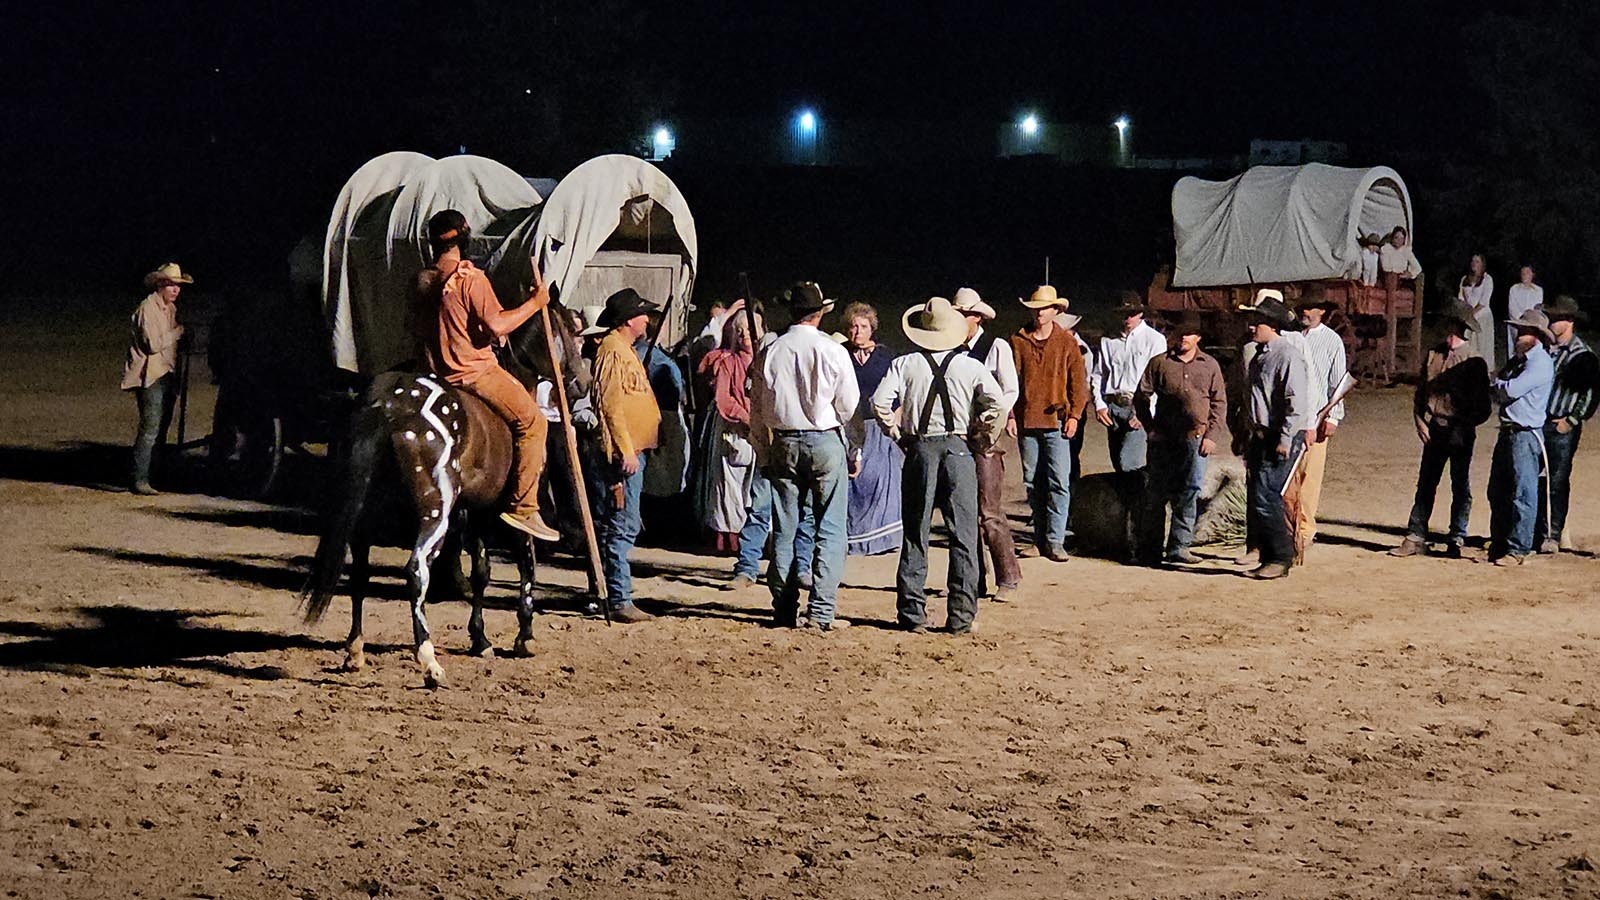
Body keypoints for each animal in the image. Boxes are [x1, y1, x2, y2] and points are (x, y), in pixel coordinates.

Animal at [300, 299, 588, 679]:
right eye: (571, 329)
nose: (583, 384)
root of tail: (385, 402)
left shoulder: (474, 508)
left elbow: (482, 573)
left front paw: (480, 639)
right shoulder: (513, 508)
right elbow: (527, 562)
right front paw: (525, 636)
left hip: (368, 511)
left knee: (360, 571)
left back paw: (355, 648)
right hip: (435, 510)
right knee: (416, 570)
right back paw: (428, 659)